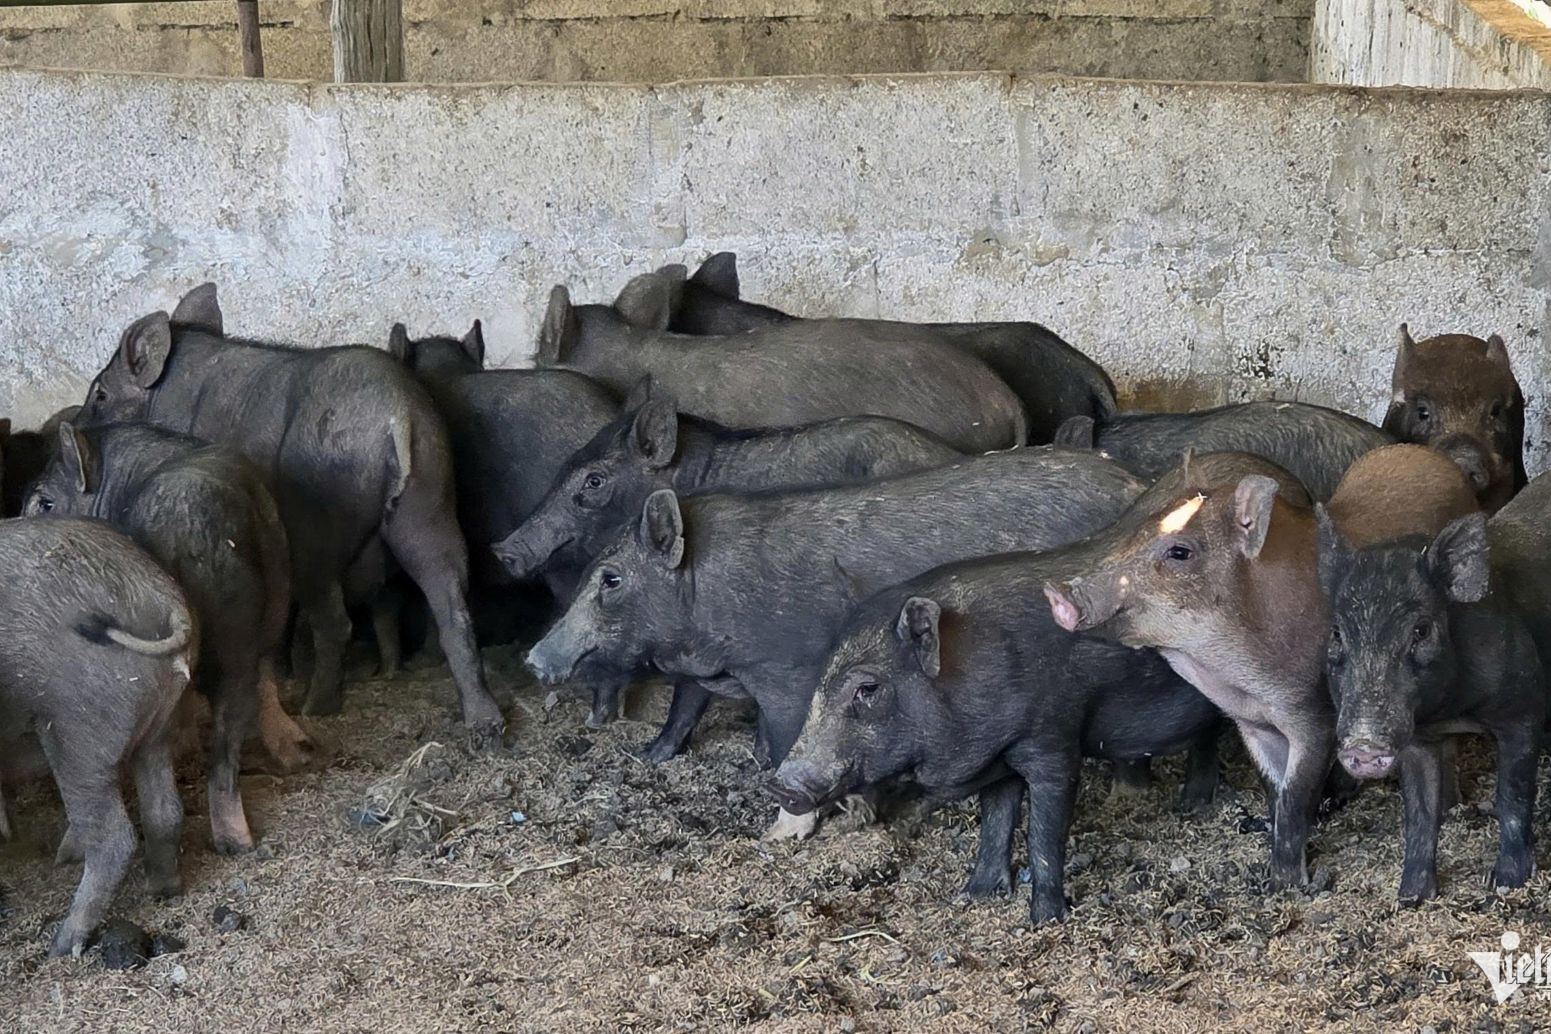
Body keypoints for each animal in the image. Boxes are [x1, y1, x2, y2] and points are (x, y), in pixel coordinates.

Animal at [0, 516, 196, 956]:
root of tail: (161, 597)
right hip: (160, 723)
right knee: (165, 810)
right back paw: (163, 889)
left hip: (77, 732)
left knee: (114, 838)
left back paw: (62, 944)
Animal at [76, 286, 502, 742]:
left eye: (100, 394)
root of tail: (397, 415)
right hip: (430, 497)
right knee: (452, 602)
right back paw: (484, 722)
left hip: (320, 522)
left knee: (334, 620)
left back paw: (315, 708)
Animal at [527, 447, 1147, 766]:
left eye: (610, 579)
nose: (532, 659)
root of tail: (1134, 486)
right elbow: (684, 705)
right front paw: (651, 757)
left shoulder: (784, 670)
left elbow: (782, 732)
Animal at [771, 540, 1223, 924]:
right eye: (822, 678)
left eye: (868, 688)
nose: (780, 786)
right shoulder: (999, 755)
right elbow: (996, 819)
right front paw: (974, 896)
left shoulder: (1053, 740)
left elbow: (1043, 833)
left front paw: (1045, 920)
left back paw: (1195, 806)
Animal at [1318, 508, 1541, 900]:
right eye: (1336, 633)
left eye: (1421, 630)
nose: (1363, 744)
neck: (1453, 713)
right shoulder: (1418, 740)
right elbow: (1420, 810)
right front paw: (1411, 896)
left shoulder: (1523, 710)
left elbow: (1512, 795)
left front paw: (1504, 884)